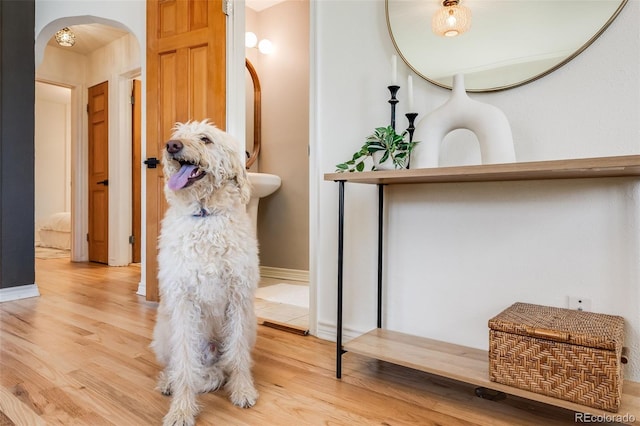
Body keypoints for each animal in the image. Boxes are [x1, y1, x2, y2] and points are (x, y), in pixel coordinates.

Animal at [151, 120, 258, 426]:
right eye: (177, 136)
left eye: (205, 139)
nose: (171, 145)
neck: (205, 216)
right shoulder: (184, 303)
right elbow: (186, 364)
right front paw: (181, 410)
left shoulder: (238, 299)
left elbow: (237, 356)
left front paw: (243, 390)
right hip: (164, 332)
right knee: (177, 364)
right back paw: (169, 382)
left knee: (227, 363)